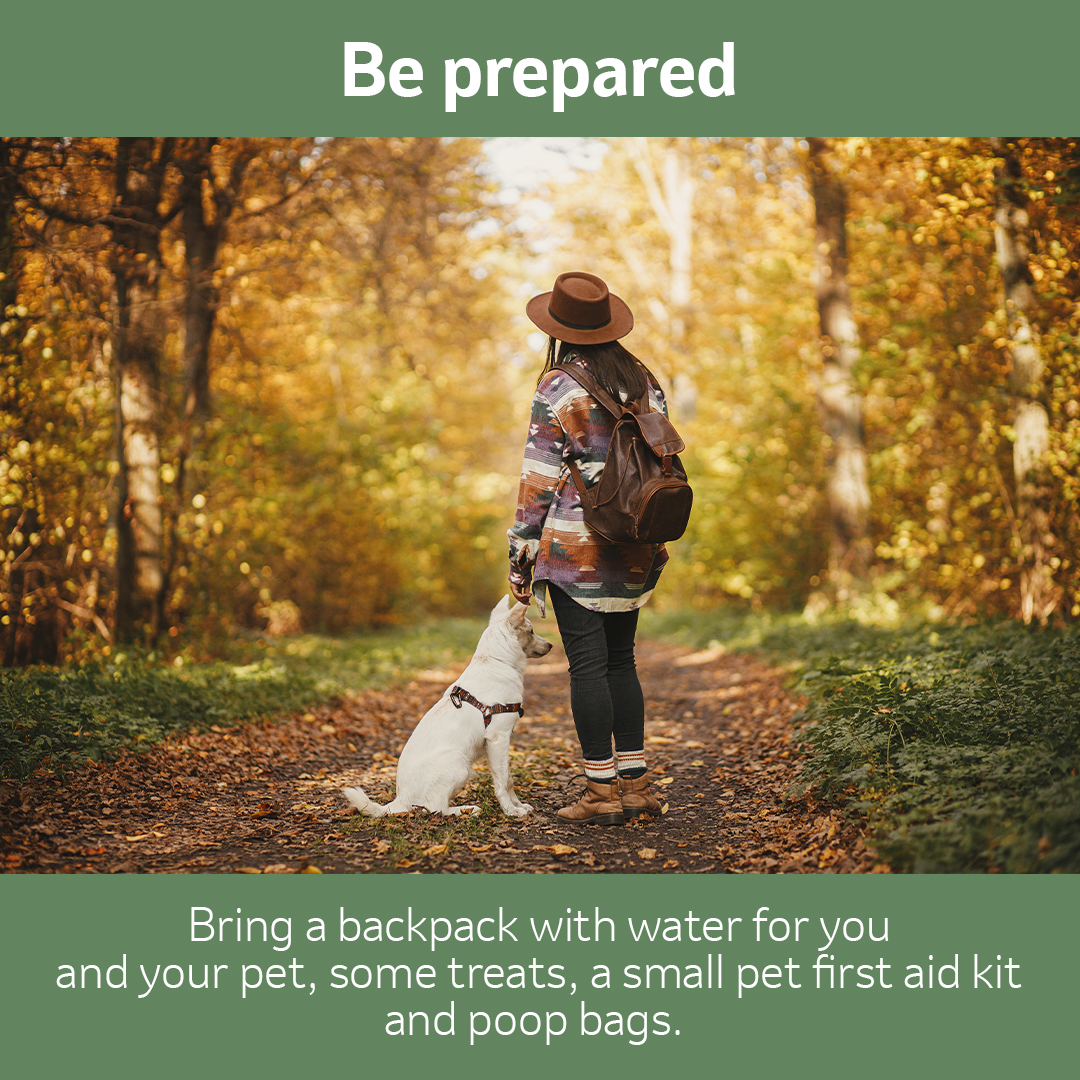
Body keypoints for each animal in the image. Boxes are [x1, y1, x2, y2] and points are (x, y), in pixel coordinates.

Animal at [341, 600, 552, 816]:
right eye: (531, 631)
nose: (551, 645)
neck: (495, 661)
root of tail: (400, 800)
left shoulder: (500, 741)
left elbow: (508, 779)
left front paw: (518, 805)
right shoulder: (498, 738)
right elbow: (503, 782)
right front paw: (511, 811)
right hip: (459, 761)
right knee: (436, 808)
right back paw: (468, 809)